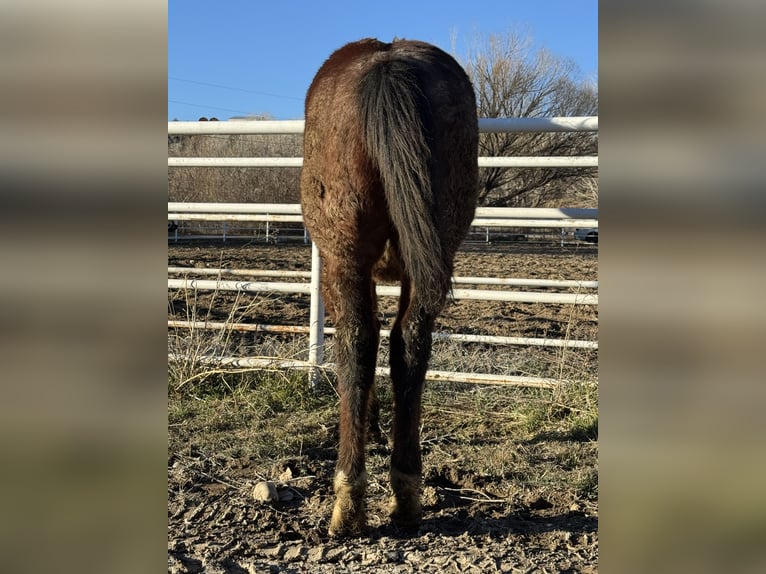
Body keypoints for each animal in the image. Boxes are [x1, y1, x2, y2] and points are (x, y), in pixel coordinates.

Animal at [300, 38, 479, 537]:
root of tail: (389, 62)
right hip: (430, 260)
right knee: (410, 346)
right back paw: (406, 492)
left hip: (343, 258)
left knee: (357, 345)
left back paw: (348, 500)